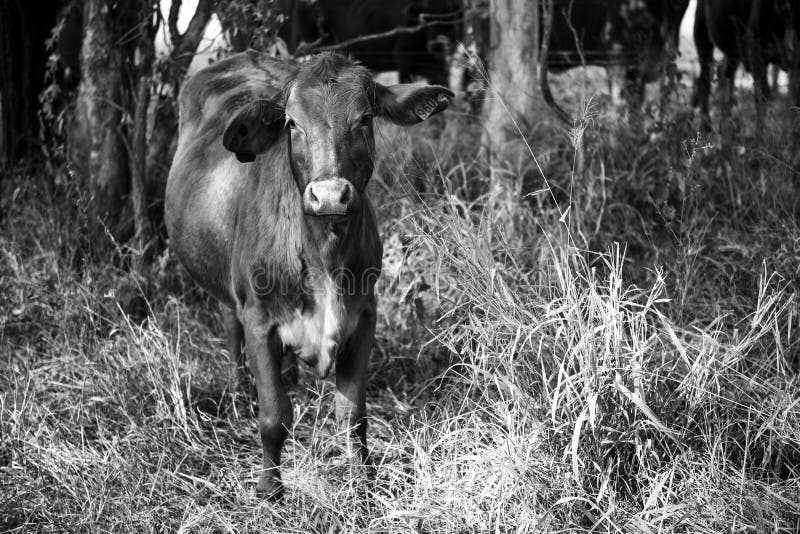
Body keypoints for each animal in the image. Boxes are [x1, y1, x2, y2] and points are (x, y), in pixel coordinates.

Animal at [165, 50, 453, 498]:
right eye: (292, 123)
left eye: (364, 118)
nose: (330, 195)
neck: (323, 255)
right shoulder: (259, 319)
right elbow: (274, 416)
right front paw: (270, 490)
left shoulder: (364, 314)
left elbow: (352, 413)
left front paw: (362, 482)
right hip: (232, 289)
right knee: (231, 325)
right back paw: (239, 390)